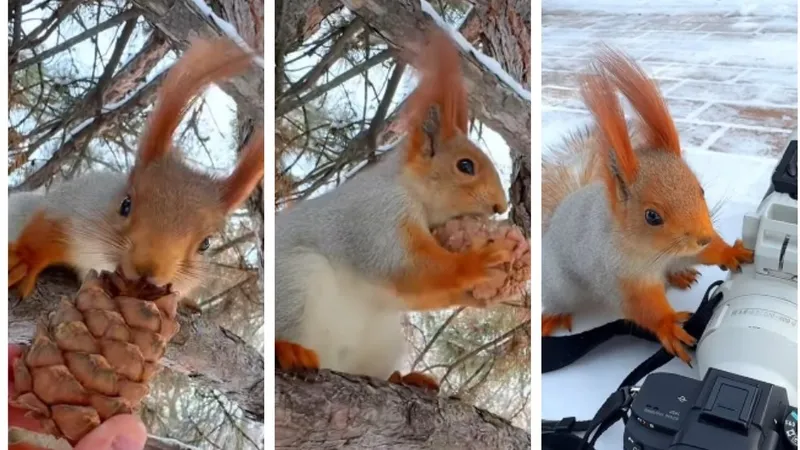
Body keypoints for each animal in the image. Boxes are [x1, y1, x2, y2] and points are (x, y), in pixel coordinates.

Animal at [8, 38, 266, 304]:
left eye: (205, 244)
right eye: (125, 205)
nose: (147, 269)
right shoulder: (74, 208)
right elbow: (44, 232)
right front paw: (23, 260)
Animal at [272, 29, 516, 390]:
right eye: (465, 166)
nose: (501, 205)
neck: (410, 189)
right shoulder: (378, 214)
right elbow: (405, 265)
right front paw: (478, 262)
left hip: (383, 339)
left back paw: (406, 377)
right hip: (294, 285)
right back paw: (289, 350)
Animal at [540, 48, 752, 366]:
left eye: (700, 190)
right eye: (652, 216)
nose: (703, 237)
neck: (654, 253)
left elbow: (705, 253)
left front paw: (729, 251)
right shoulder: (618, 274)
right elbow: (642, 306)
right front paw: (669, 326)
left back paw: (680, 274)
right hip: (559, 284)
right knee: (557, 300)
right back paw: (551, 318)